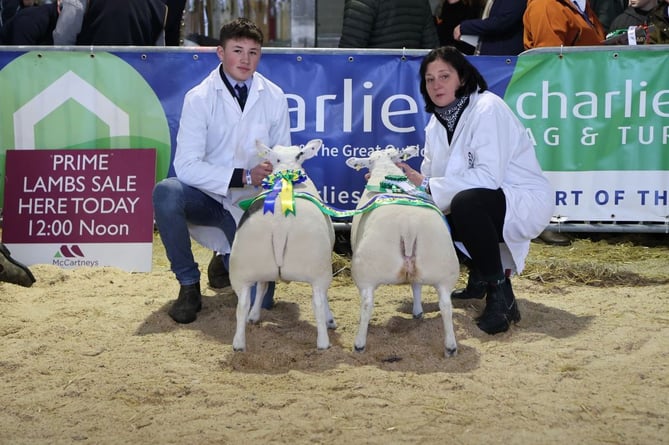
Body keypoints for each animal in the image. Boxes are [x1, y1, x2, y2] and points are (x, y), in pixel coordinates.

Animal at [230, 138, 336, 350]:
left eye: (299, 154)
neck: (287, 169)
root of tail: (279, 226)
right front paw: (330, 320)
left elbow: (261, 287)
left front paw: (254, 315)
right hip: (318, 269)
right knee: (318, 302)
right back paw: (323, 342)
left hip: (243, 267)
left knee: (242, 304)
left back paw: (239, 342)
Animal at [344, 146, 460, 358]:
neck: (385, 170)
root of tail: (408, 227)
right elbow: (416, 285)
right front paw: (417, 311)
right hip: (443, 267)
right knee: (446, 306)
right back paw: (450, 347)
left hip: (365, 271)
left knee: (367, 304)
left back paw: (359, 344)